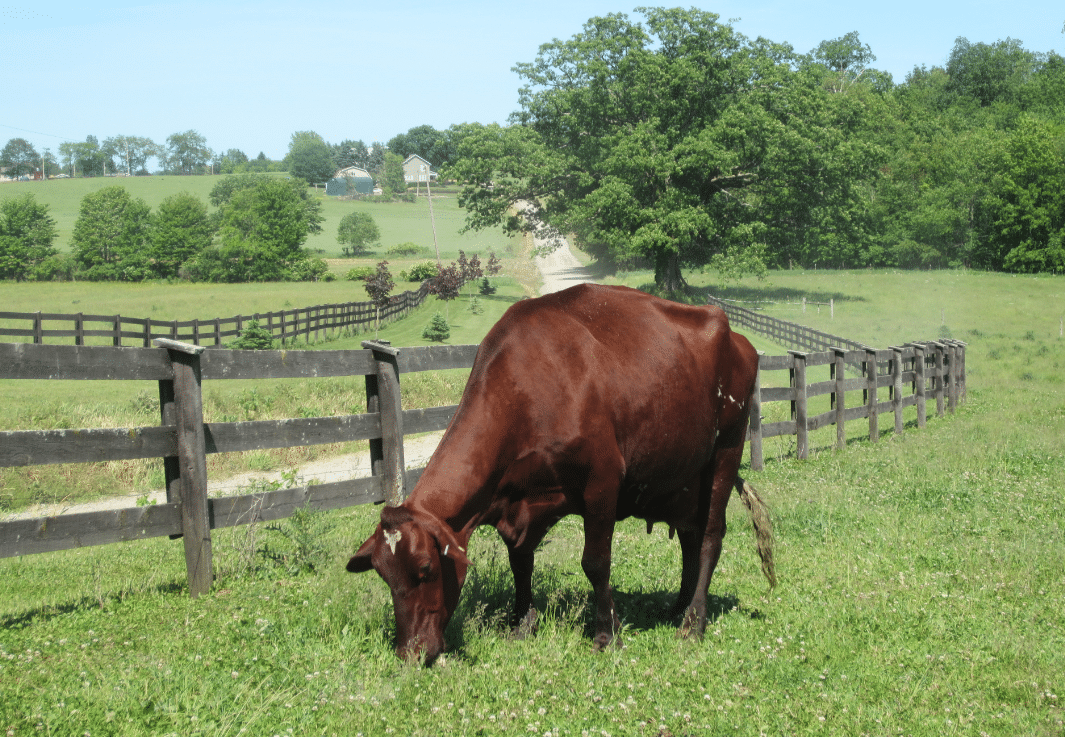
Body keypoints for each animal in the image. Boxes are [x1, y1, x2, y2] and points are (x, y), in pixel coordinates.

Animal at [349, 281, 775, 660]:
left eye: (424, 568)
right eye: (383, 575)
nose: (410, 652)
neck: (525, 386)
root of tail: (738, 337)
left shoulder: (603, 480)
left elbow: (595, 563)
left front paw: (607, 635)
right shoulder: (520, 504)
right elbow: (520, 562)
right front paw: (523, 622)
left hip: (726, 451)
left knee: (710, 538)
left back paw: (694, 622)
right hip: (684, 478)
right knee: (690, 535)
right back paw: (679, 606)